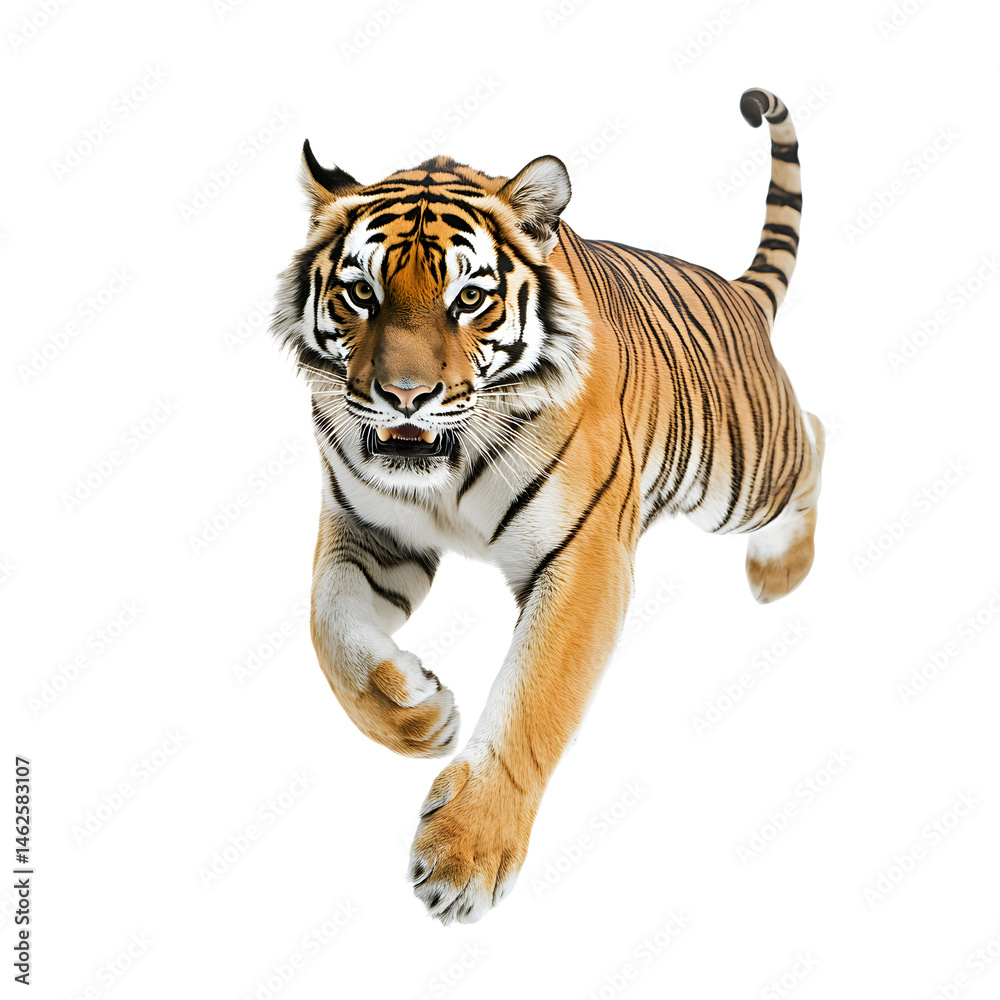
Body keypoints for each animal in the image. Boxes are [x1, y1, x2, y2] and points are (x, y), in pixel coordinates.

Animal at [269, 87, 825, 925]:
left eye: (470, 298)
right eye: (361, 292)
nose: (404, 396)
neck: (446, 460)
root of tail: (738, 292)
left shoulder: (585, 554)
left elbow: (535, 699)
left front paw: (464, 856)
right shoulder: (366, 530)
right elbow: (328, 630)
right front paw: (418, 714)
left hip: (741, 478)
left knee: (817, 435)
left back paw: (779, 571)